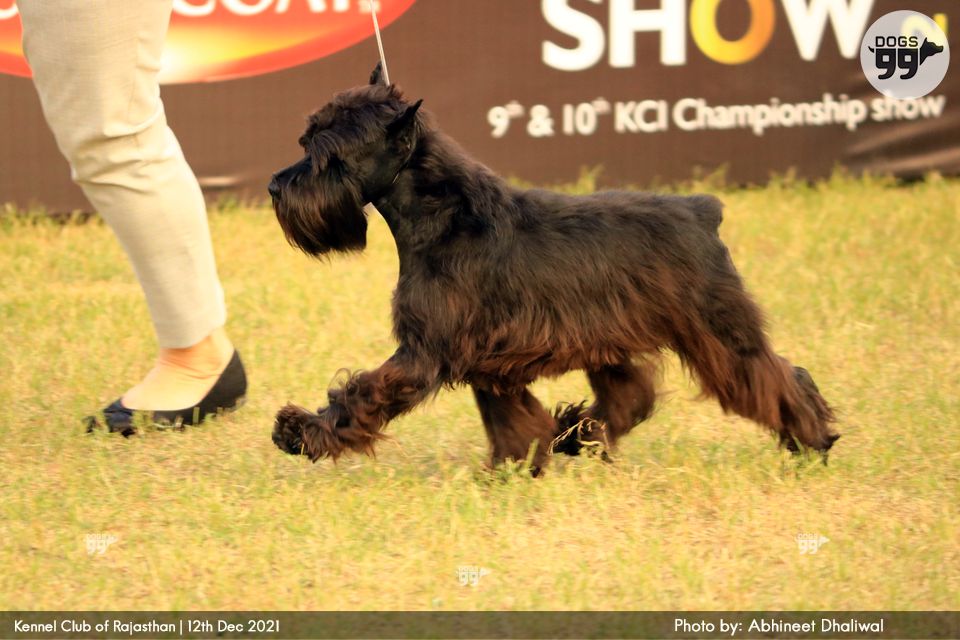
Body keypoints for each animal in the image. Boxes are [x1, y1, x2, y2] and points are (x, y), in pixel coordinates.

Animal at [268, 63, 839, 473]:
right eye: (306, 141)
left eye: (329, 155)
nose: (275, 187)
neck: (442, 214)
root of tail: (703, 210)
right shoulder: (488, 360)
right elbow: (511, 417)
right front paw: (518, 465)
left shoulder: (423, 353)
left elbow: (363, 391)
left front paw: (302, 431)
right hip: (613, 338)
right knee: (631, 397)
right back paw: (577, 432)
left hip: (716, 333)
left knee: (771, 378)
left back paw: (813, 438)